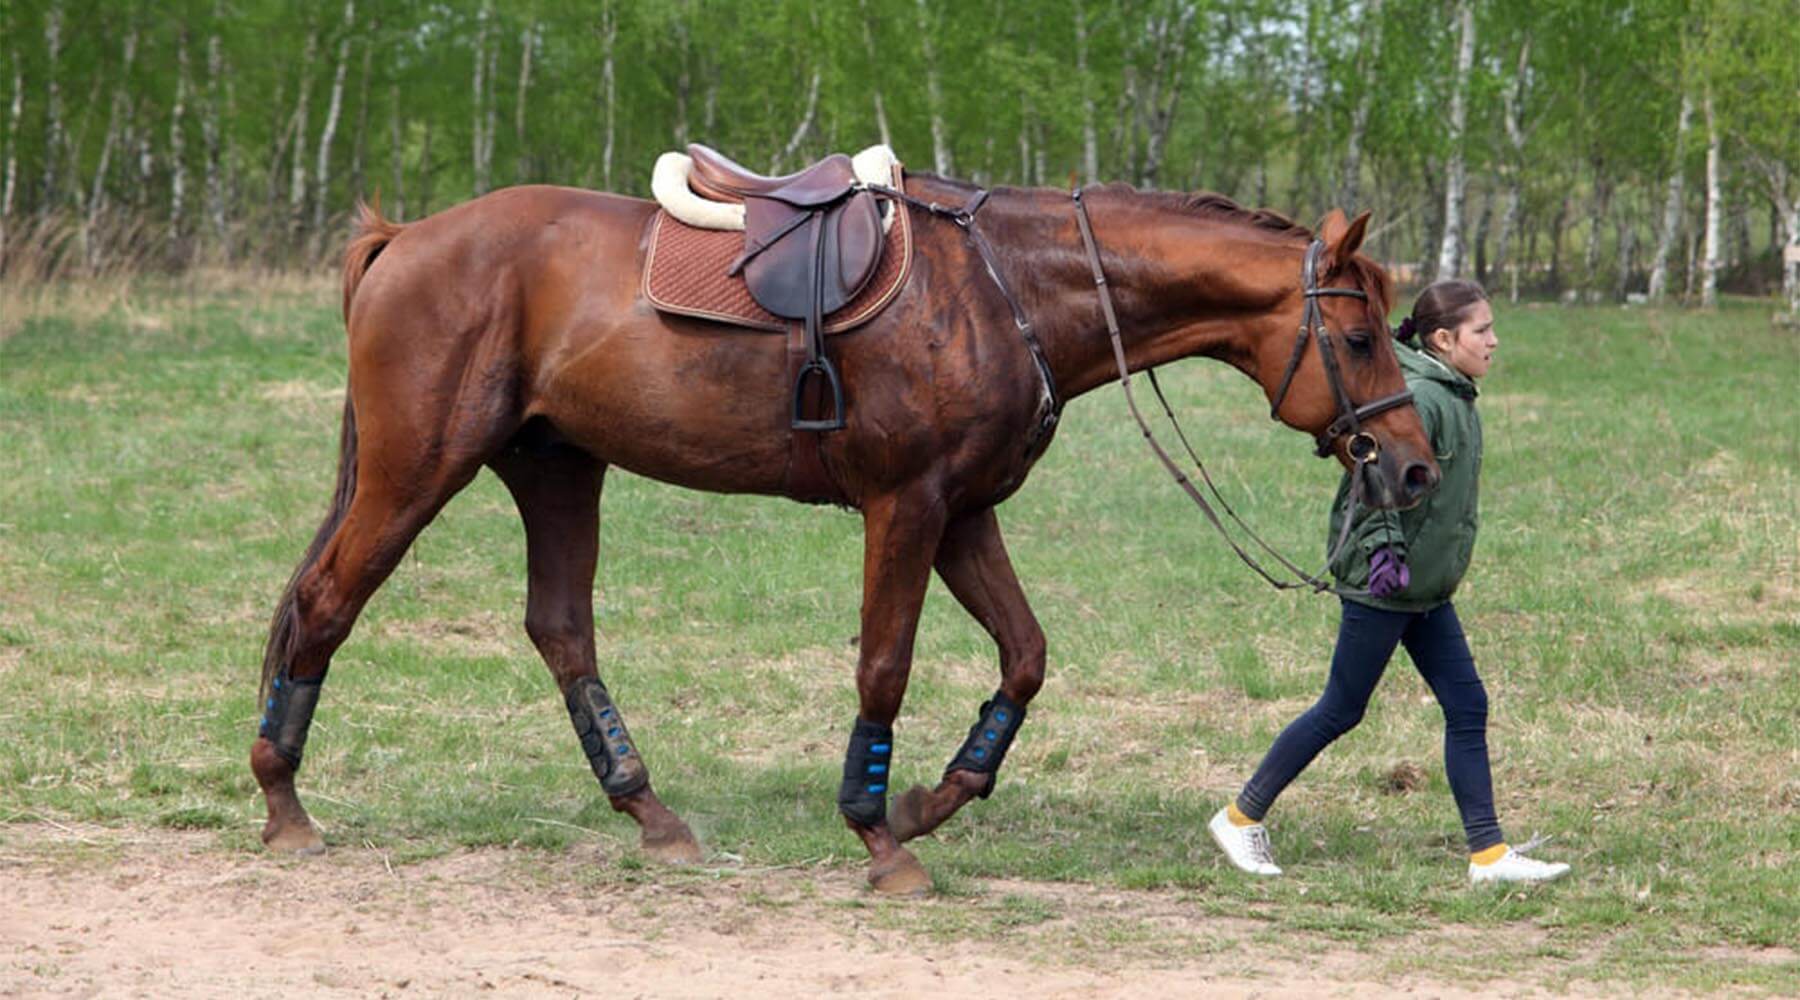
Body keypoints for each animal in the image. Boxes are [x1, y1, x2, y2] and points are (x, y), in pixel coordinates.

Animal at [250, 168, 1432, 895]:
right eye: (1360, 338)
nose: (1415, 464)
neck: (1008, 288)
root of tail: (405, 237)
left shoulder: (965, 512)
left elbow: (1026, 658)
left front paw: (919, 805)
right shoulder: (907, 506)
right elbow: (885, 667)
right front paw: (877, 833)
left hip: (556, 470)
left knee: (559, 630)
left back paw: (650, 814)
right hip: (418, 470)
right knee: (324, 605)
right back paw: (284, 801)